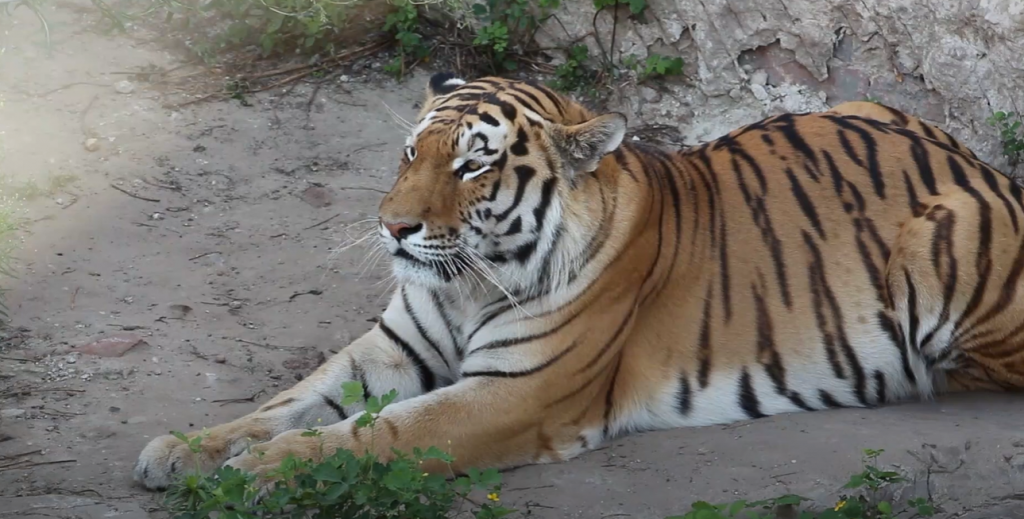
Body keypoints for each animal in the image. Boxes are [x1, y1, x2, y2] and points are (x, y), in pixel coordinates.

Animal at [132, 72, 1024, 491]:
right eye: (411, 152)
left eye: (474, 165)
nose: (393, 226)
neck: (466, 282)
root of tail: (977, 163)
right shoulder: (389, 350)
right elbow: (286, 401)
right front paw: (184, 449)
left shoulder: (514, 393)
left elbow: (378, 433)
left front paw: (264, 470)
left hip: (943, 255)